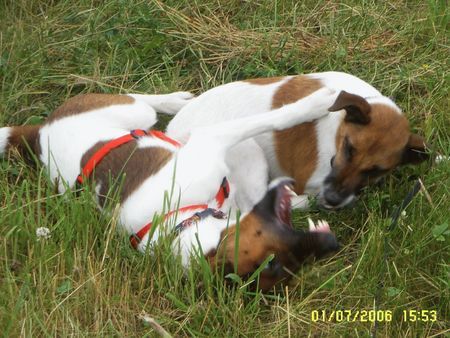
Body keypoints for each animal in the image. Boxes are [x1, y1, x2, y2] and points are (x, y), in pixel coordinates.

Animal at [0, 88, 338, 290]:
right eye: (281, 262)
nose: (332, 242)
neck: (179, 219)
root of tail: (38, 133)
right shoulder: (210, 140)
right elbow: (270, 119)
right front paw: (315, 104)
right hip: (131, 112)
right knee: (137, 100)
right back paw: (172, 100)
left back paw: (175, 100)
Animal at [166, 71, 428, 209]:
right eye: (349, 148)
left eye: (377, 170)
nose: (333, 199)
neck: (338, 126)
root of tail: (171, 133)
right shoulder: (310, 180)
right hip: (247, 148)